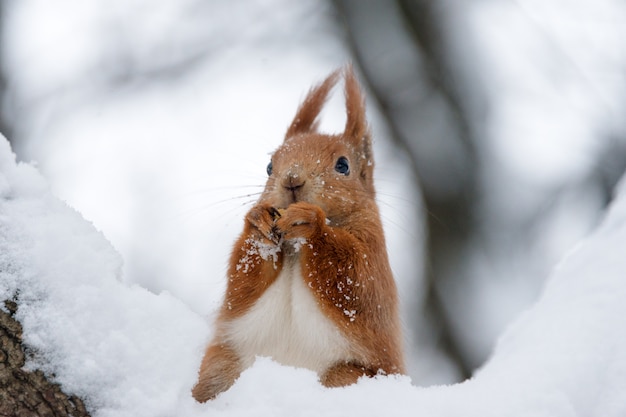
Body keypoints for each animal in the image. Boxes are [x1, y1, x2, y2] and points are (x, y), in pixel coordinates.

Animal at [190, 66, 404, 402]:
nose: (291, 180)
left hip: (350, 375)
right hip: (221, 367)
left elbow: (358, 283)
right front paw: (257, 223)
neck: (293, 247)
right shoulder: (241, 291)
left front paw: (311, 224)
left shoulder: (374, 252)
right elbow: (243, 282)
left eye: (343, 165)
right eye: (268, 166)